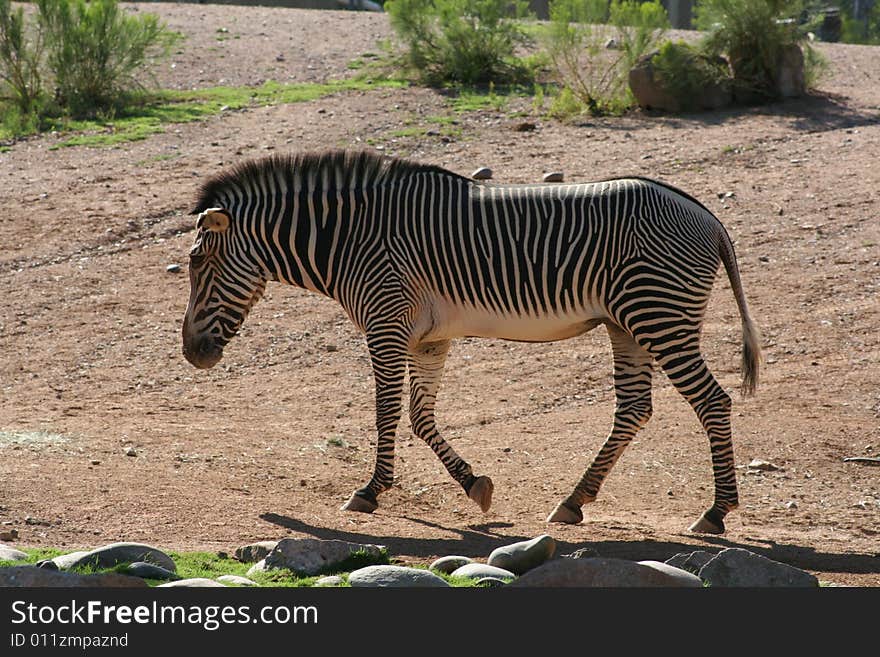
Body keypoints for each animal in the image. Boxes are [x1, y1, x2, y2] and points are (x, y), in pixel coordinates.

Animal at [182, 147, 760, 532]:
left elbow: (386, 412)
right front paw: (474, 485)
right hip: (630, 324)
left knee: (712, 401)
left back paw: (715, 512)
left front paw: (369, 491)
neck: (352, 237)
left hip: (659, 316)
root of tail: (708, 217)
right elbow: (420, 417)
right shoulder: (427, 338)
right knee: (635, 409)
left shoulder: (386, 323)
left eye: (196, 262)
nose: (191, 354)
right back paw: (573, 501)